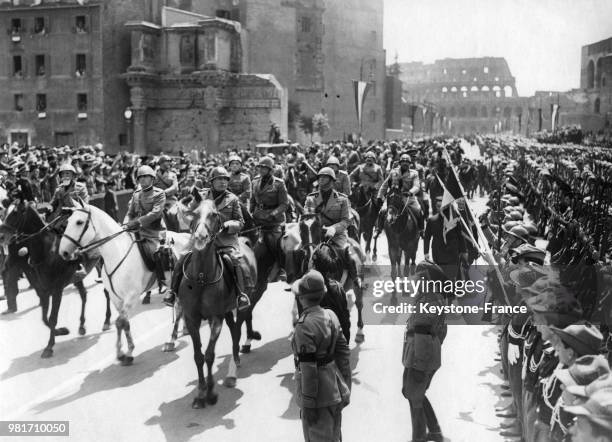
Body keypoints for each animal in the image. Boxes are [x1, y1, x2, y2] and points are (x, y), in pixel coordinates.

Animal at [0, 202, 108, 358]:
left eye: (15, 213)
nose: (1, 236)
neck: (47, 252)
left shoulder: (57, 290)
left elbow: (52, 318)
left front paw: (49, 346)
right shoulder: (44, 290)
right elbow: (45, 318)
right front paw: (60, 331)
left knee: (107, 293)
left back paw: (107, 320)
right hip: (77, 278)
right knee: (83, 295)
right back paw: (82, 325)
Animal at [58, 201, 191, 366]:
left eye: (79, 222)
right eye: (68, 221)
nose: (63, 252)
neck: (117, 252)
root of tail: (187, 236)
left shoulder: (131, 297)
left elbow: (119, 322)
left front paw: (123, 353)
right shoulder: (117, 299)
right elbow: (124, 323)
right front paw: (126, 352)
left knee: (178, 309)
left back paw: (171, 340)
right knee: (181, 305)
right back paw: (184, 329)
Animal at [177, 199, 256, 408]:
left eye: (214, 214)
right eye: (195, 213)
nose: (200, 236)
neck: (201, 278)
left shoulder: (215, 318)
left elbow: (209, 355)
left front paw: (211, 393)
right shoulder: (191, 319)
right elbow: (198, 356)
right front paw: (200, 392)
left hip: (242, 304)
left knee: (237, 330)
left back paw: (234, 367)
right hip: (227, 311)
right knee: (233, 327)